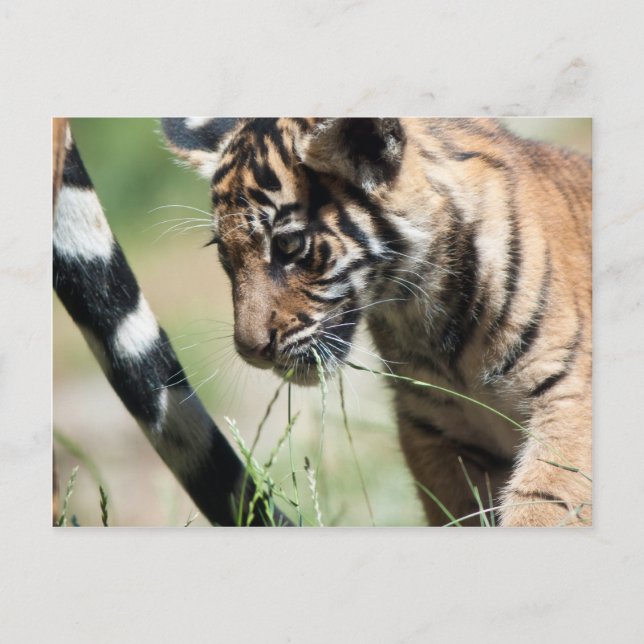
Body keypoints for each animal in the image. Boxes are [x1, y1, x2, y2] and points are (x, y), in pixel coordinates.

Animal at [162, 117, 592, 527]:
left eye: (287, 244)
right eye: (224, 253)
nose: (251, 350)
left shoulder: (567, 401)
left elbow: (545, 504)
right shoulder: (435, 427)